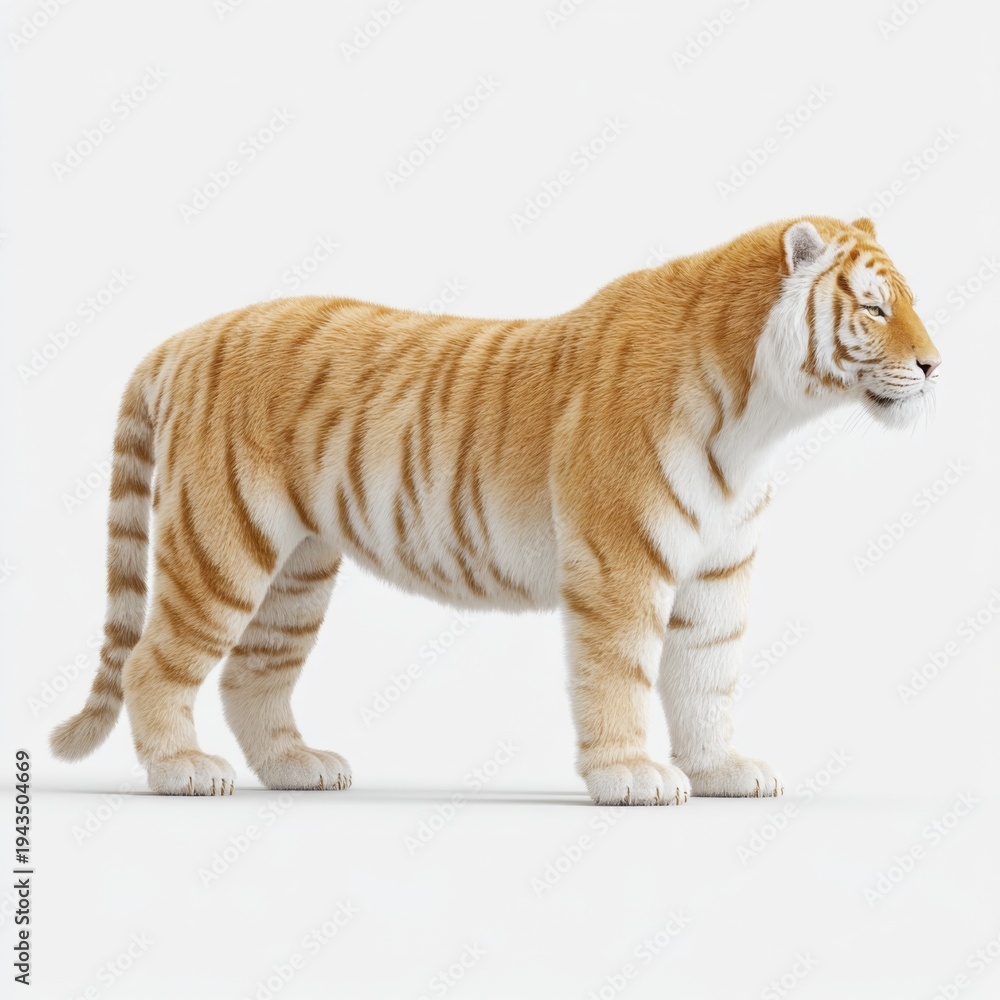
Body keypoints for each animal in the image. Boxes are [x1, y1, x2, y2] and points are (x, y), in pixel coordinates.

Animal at [50, 215, 941, 804]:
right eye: (874, 308)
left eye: (909, 303)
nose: (936, 364)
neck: (760, 417)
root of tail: (181, 339)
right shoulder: (621, 559)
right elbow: (620, 671)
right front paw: (631, 775)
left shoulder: (719, 571)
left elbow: (706, 675)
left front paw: (721, 770)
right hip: (220, 546)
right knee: (151, 660)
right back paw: (182, 771)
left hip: (295, 572)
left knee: (252, 670)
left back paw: (298, 767)